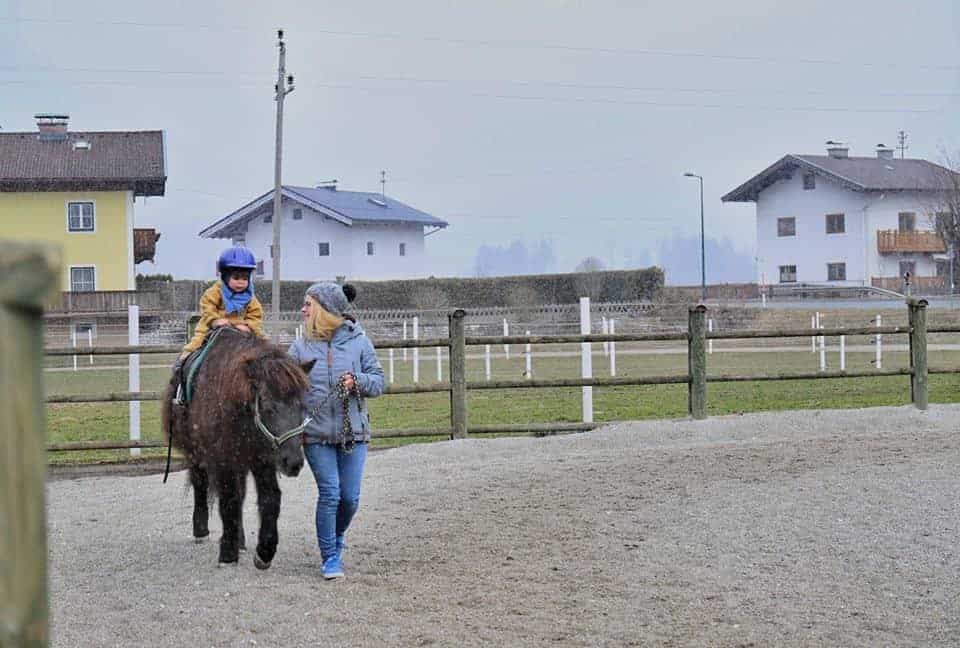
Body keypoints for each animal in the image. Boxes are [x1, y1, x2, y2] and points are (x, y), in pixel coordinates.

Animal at [162, 330, 316, 568]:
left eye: (302, 405)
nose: (293, 462)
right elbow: (229, 500)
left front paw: (264, 552)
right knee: (200, 484)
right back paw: (202, 531)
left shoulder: (262, 459)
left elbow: (270, 499)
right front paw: (227, 552)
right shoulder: (223, 459)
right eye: (267, 405)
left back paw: (241, 540)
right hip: (196, 452)